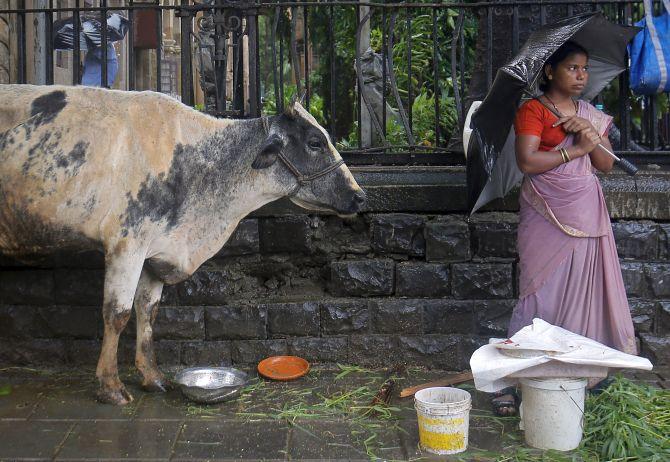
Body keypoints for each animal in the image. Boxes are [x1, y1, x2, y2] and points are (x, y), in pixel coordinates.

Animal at [0, 84, 368, 404]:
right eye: (315, 141)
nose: (360, 196)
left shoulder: (156, 252)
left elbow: (147, 311)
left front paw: (152, 376)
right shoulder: (127, 244)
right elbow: (117, 314)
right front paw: (110, 387)